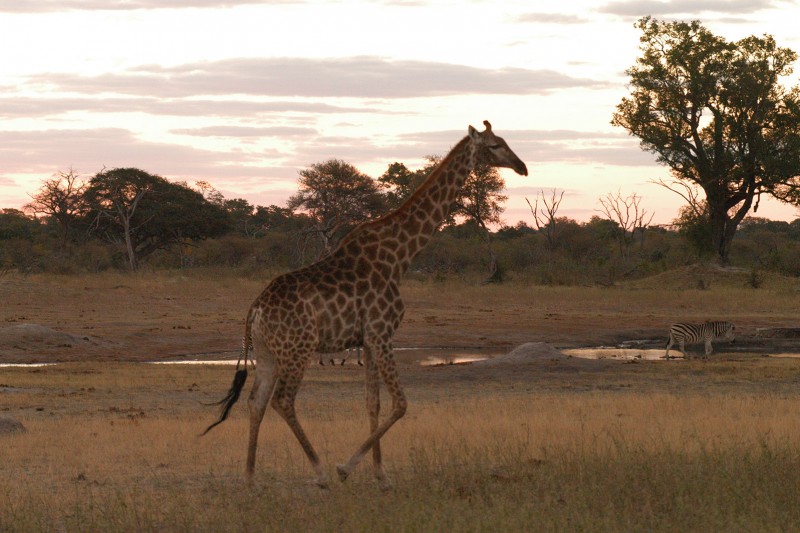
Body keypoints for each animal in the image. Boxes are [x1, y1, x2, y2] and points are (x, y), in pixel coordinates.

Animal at [203, 121, 528, 489]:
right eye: (495, 145)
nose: (522, 166)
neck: (399, 256)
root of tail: (255, 310)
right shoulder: (382, 333)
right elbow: (401, 404)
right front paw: (347, 468)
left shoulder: (368, 339)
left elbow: (373, 403)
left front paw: (380, 474)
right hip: (298, 348)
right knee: (283, 401)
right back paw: (320, 472)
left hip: (267, 351)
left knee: (256, 401)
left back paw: (249, 477)